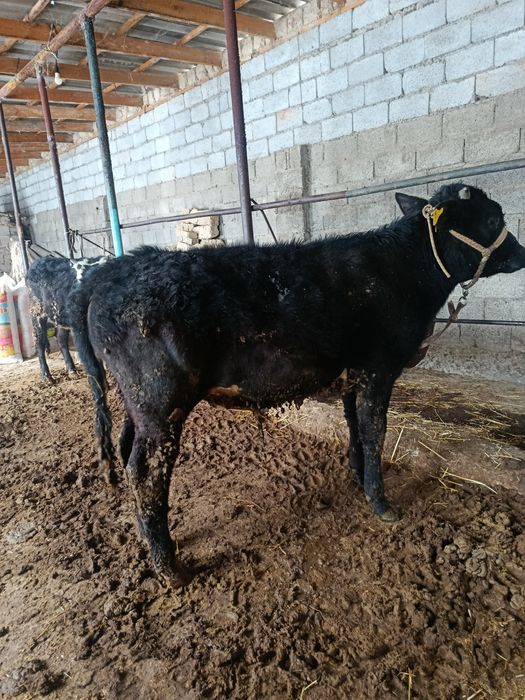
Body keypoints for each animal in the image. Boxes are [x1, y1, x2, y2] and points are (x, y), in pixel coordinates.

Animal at [67, 184, 525, 586]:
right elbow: (375, 431)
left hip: (137, 403)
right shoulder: (379, 369)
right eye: (493, 218)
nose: (521, 253)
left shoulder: (352, 373)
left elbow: (355, 428)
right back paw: (170, 567)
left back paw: (146, 538)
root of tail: (114, 270)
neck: (401, 271)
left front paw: (358, 477)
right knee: (145, 470)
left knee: (125, 448)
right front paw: (381, 501)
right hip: (161, 402)